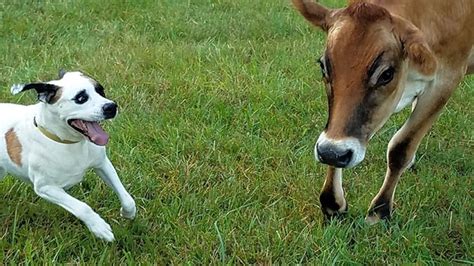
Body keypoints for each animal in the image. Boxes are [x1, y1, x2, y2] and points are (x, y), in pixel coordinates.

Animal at [0, 70, 137, 241]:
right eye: (81, 98)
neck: (67, 142)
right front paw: (99, 227)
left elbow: (127, 198)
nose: (111, 107)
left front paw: (127, 213)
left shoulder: (102, 164)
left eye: (101, 91)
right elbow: (82, 207)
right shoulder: (46, 187)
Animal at [292, 0, 474, 223]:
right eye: (323, 66)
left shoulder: (446, 78)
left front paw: (379, 211)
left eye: (386, 74)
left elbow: (401, 147)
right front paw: (332, 203)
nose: (331, 152)